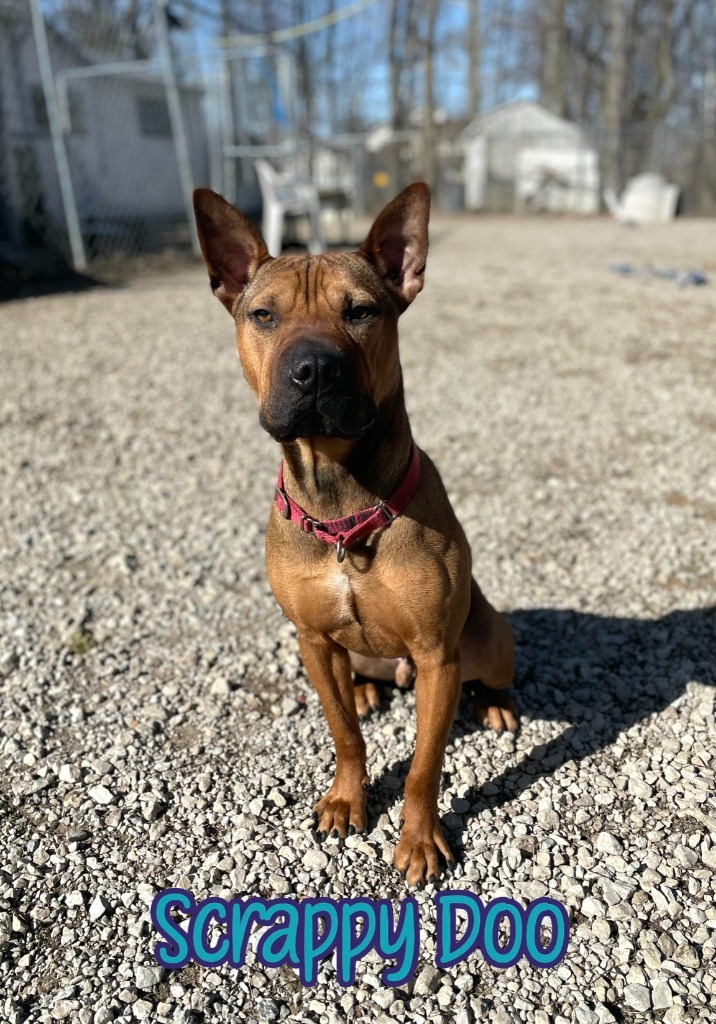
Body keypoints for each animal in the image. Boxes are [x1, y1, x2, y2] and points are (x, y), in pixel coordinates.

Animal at [191, 184, 516, 888]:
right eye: (263, 315)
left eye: (361, 311)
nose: (313, 370)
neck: (341, 499)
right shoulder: (312, 642)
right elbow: (343, 733)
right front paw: (347, 799)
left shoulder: (437, 658)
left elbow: (424, 765)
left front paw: (419, 838)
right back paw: (367, 691)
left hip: (486, 638)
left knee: (493, 671)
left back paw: (497, 703)